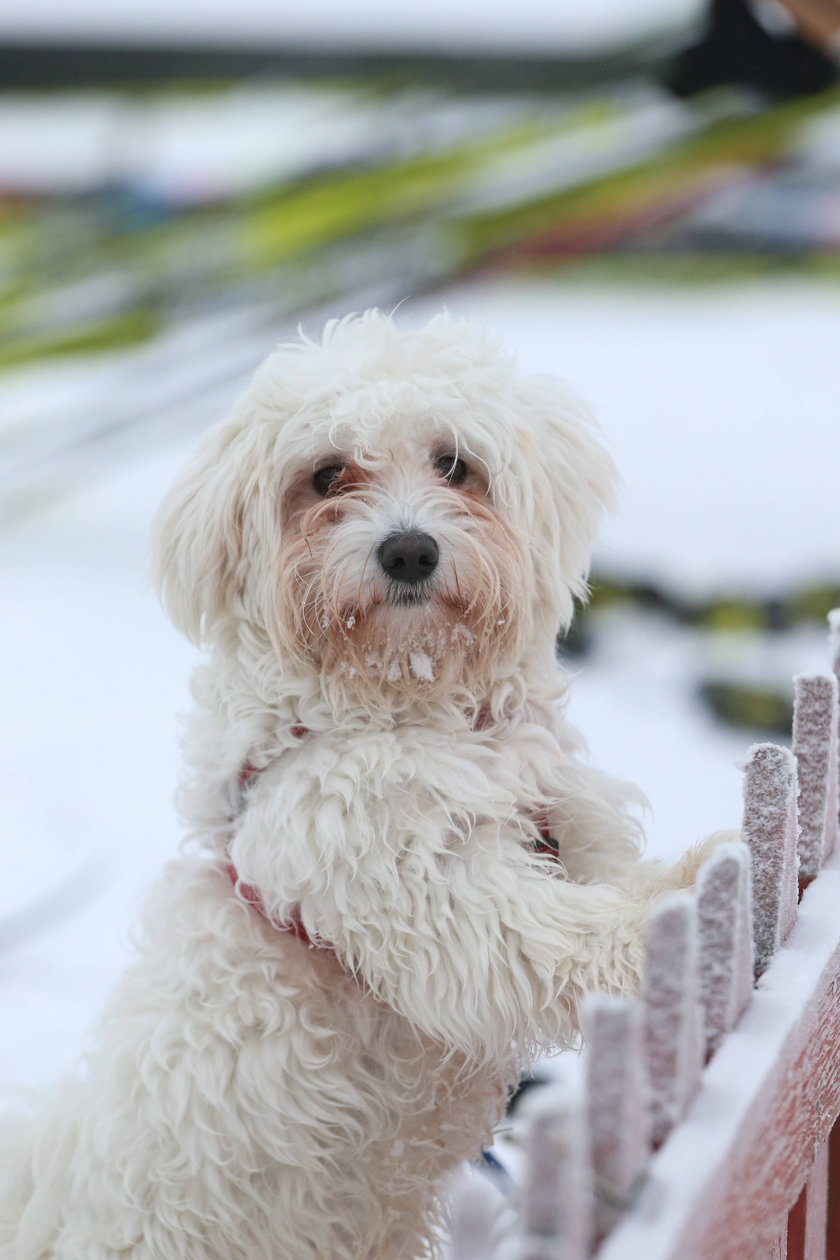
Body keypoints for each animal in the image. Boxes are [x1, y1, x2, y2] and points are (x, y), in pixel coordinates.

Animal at [1, 312, 710, 1260]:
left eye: (454, 464)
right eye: (327, 475)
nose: (408, 549)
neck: (408, 706)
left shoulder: (570, 826)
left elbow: (610, 883)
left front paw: (691, 874)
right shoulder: (429, 891)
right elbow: (554, 933)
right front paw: (673, 905)